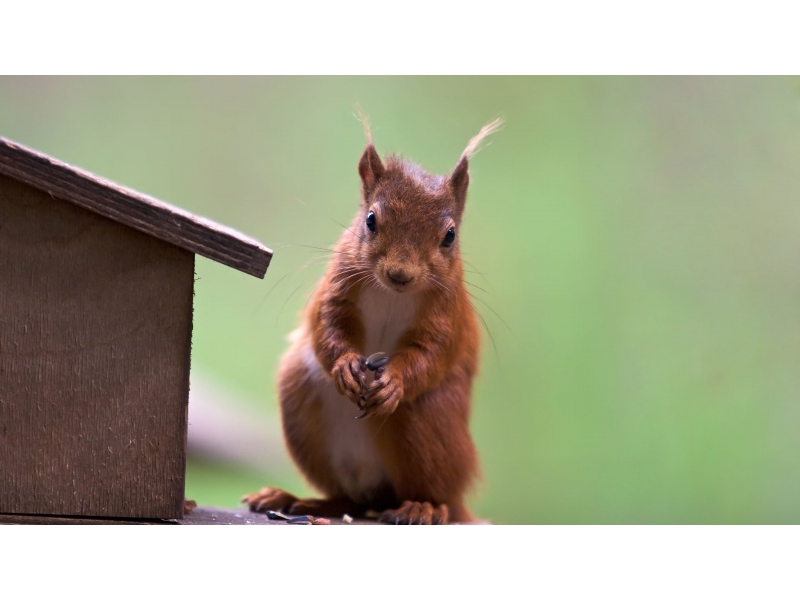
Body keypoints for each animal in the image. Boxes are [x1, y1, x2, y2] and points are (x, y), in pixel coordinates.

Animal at [241, 117, 500, 524]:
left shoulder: (447, 313)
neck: (392, 294)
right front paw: (346, 365)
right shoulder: (338, 285)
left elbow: (432, 352)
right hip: (300, 397)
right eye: (371, 220)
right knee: (347, 500)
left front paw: (394, 381)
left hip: (427, 421)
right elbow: (327, 325)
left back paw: (423, 507)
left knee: (439, 498)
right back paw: (297, 500)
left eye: (450, 236)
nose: (400, 275)